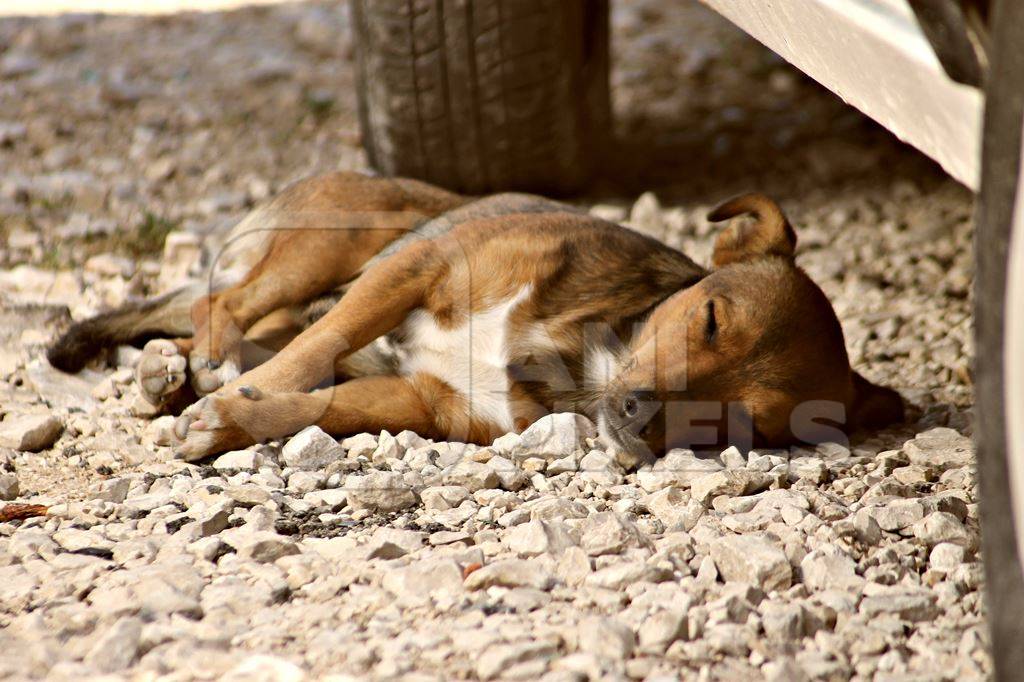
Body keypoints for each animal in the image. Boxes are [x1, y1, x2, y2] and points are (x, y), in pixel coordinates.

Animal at [48, 173, 901, 464]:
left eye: (753, 424)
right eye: (712, 319)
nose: (638, 413)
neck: (581, 353)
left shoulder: (429, 403)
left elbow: (318, 404)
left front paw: (228, 421)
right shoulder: (413, 268)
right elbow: (317, 351)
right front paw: (230, 403)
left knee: (217, 326)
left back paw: (172, 375)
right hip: (347, 240)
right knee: (220, 306)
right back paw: (196, 366)